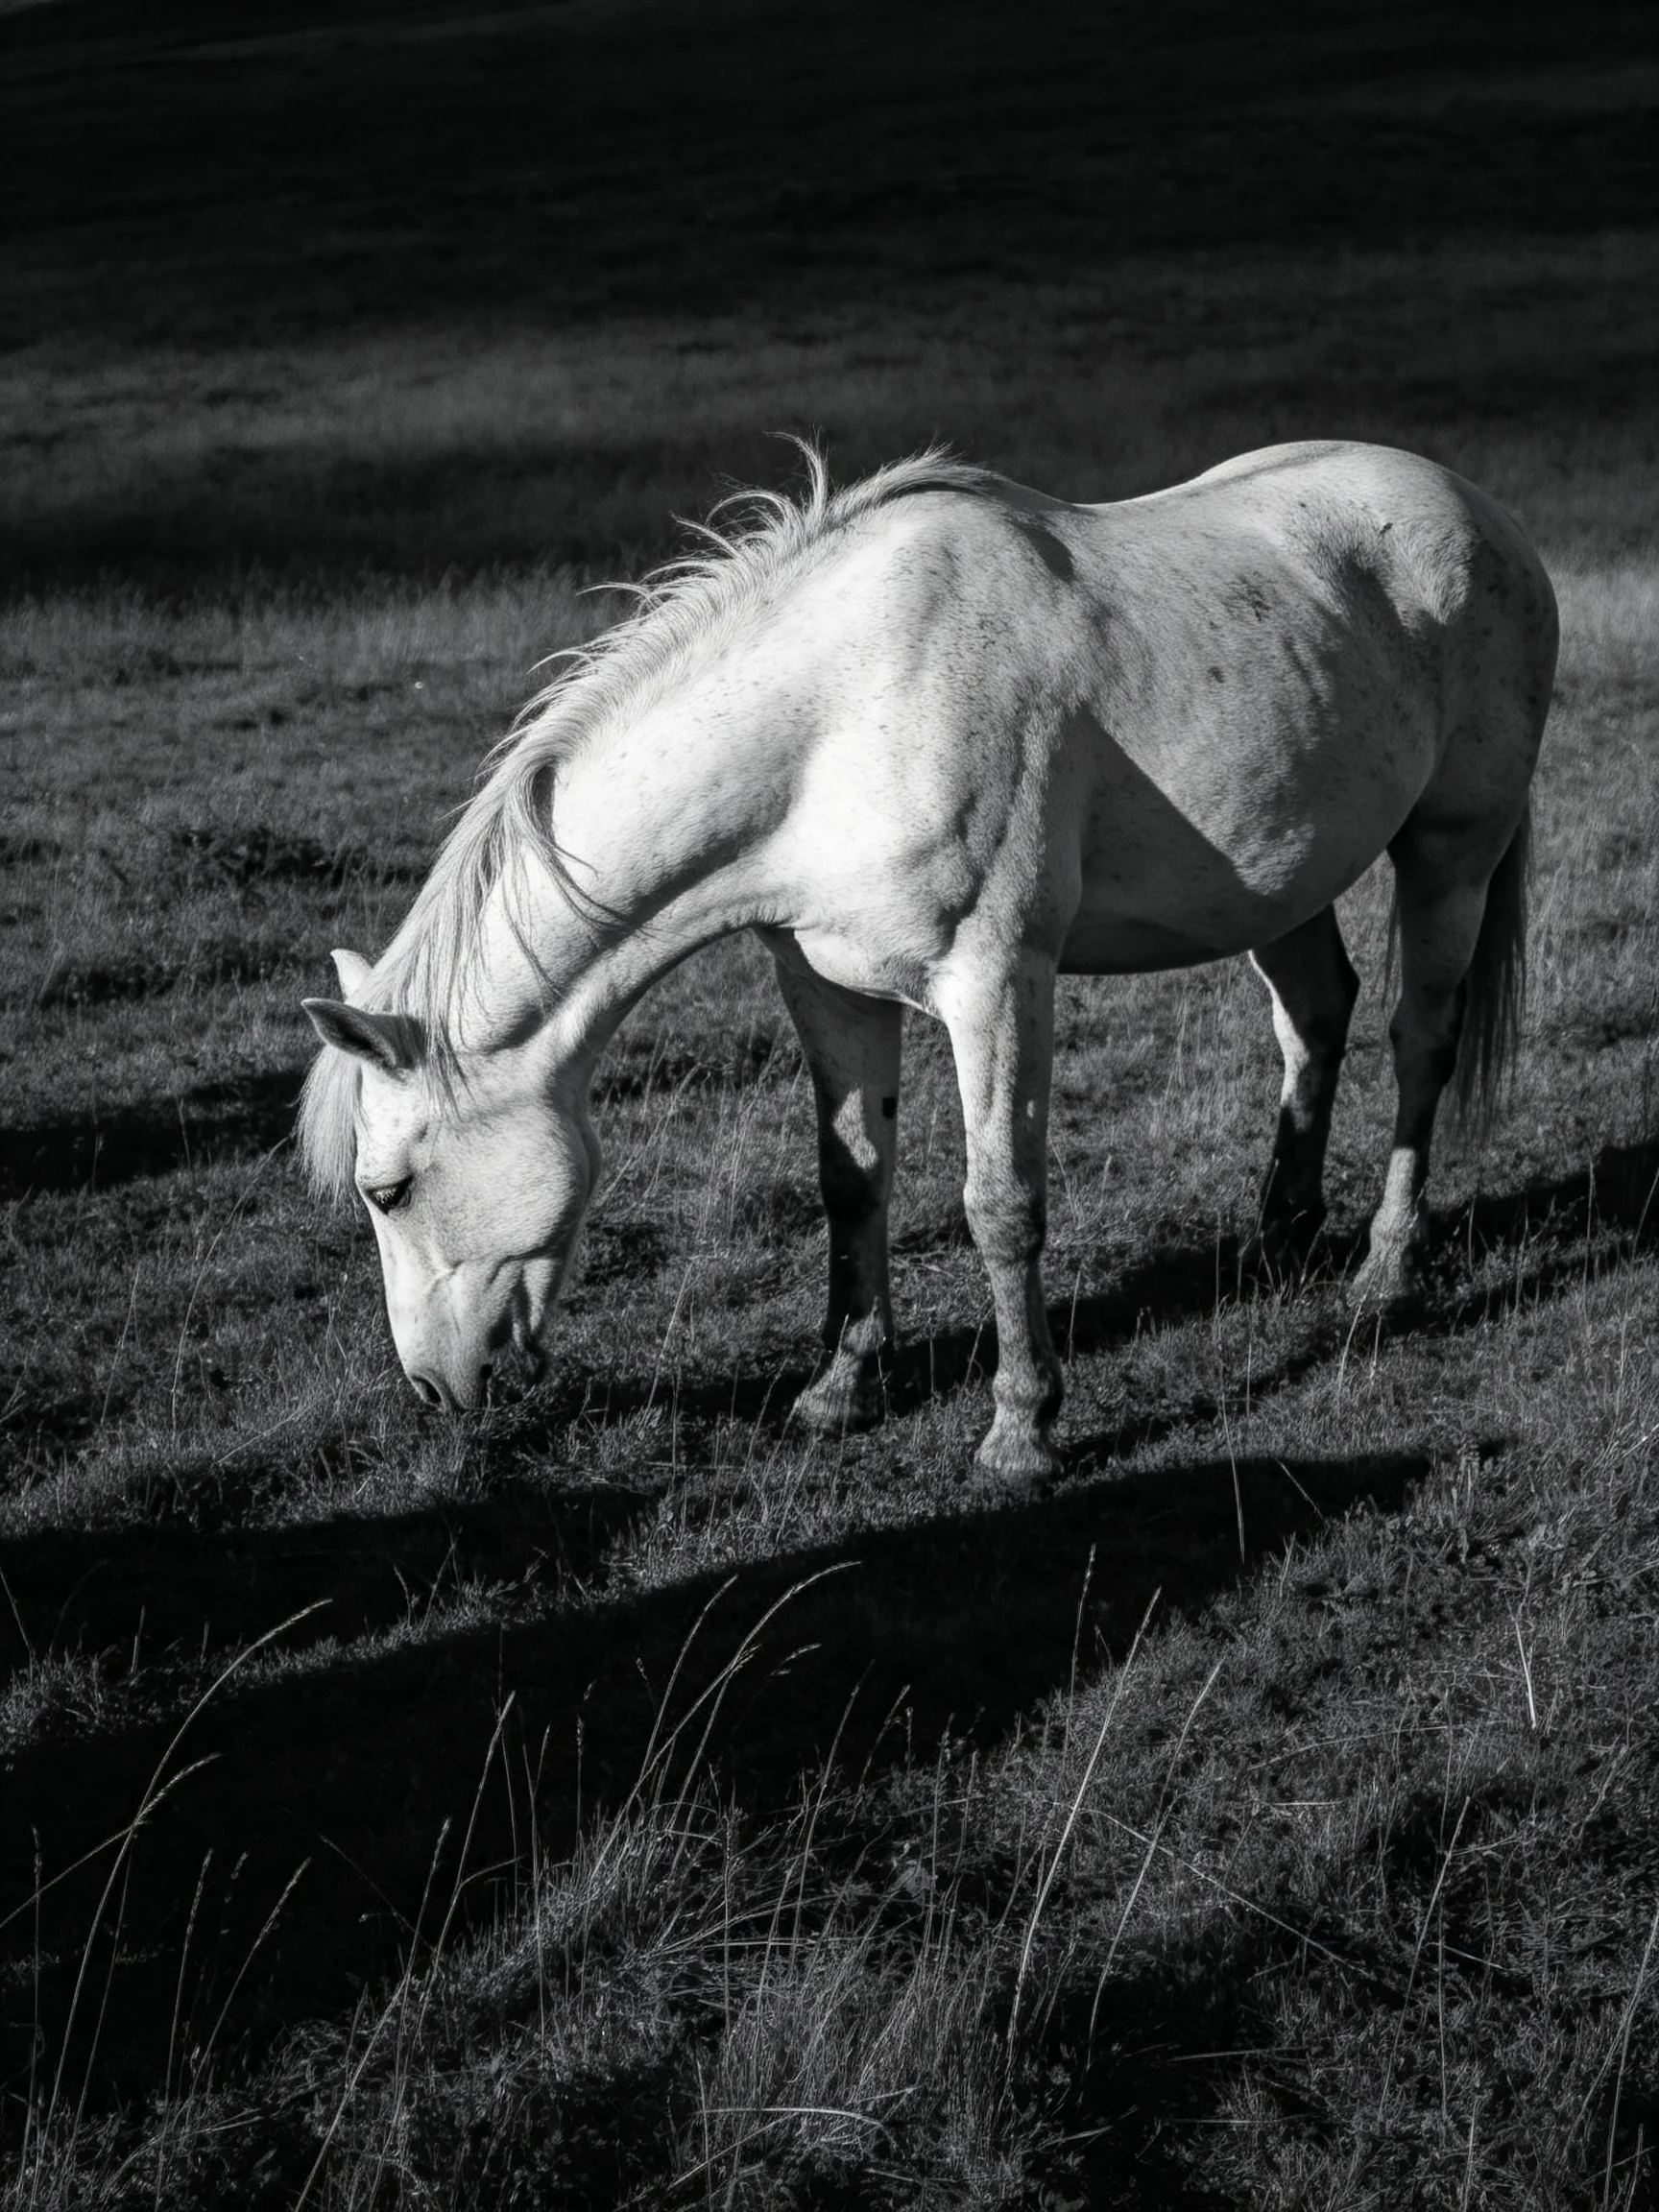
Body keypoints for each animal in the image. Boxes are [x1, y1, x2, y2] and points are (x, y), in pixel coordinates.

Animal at [299, 441, 1556, 1482]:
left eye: (387, 1189)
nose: (433, 1389)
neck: (838, 716)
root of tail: (1478, 508)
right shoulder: (827, 988)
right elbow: (853, 1180)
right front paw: (840, 1389)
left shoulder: (995, 984)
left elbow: (1000, 1203)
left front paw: (1021, 1430)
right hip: (1280, 881)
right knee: (1315, 1018)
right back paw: (1281, 1240)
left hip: (1453, 850)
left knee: (1420, 1041)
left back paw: (1385, 1269)